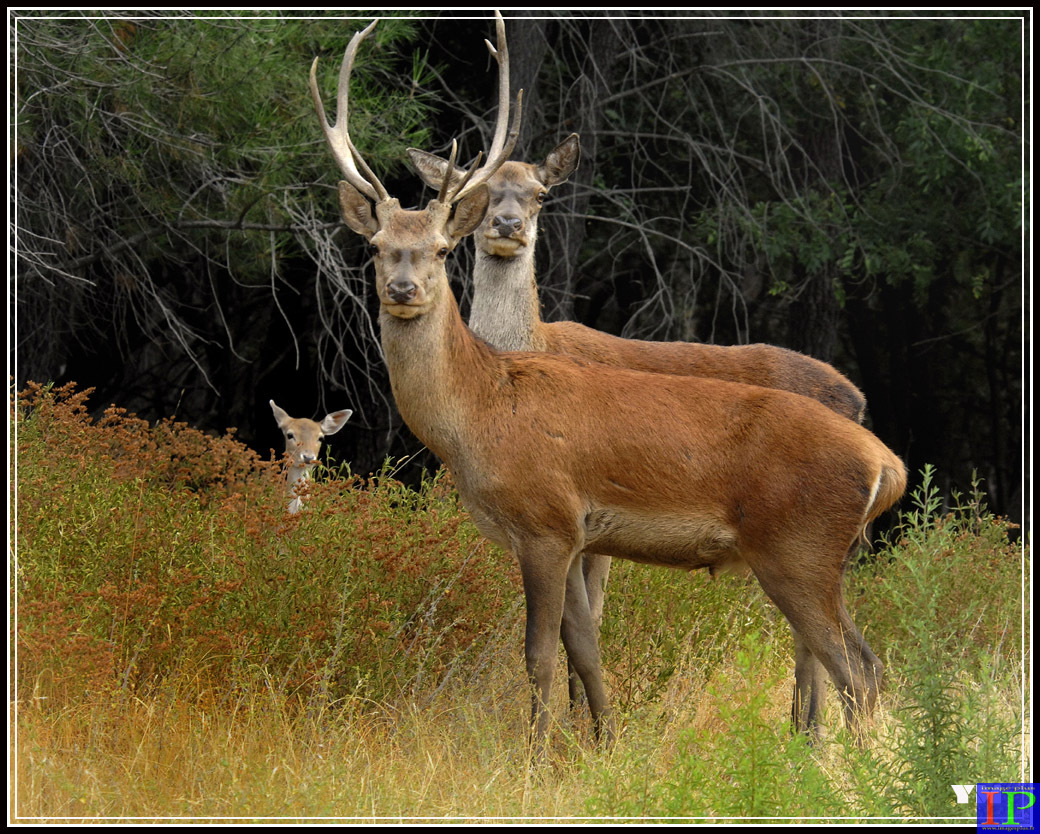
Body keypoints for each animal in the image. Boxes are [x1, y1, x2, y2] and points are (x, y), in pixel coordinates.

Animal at [310, 12, 906, 752]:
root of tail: (887, 465)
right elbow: (586, 646)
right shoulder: (574, 534)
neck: (479, 416)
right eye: (375, 246)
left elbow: (537, 653)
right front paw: (603, 744)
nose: (402, 289)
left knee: (853, 667)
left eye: (443, 250)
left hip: (800, 547)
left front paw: (536, 756)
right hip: (826, 557)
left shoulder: (545, 521)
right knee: (860, 663)